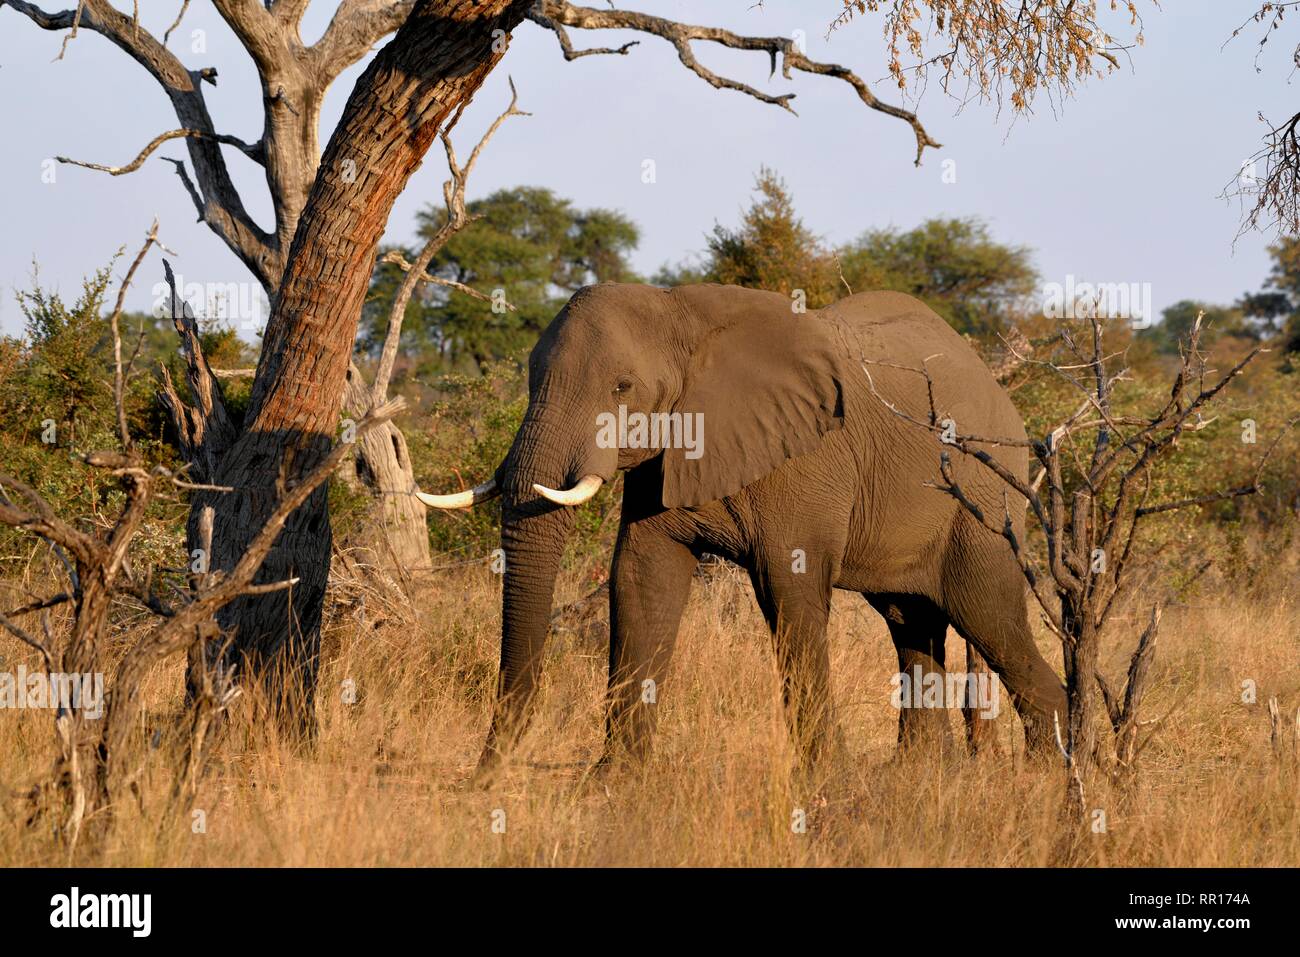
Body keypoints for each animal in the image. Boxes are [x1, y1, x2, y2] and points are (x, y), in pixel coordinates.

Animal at [421, 282, 1071, 780]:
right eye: (531, 381)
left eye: (622, 388)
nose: (481, 778)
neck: (681, 313)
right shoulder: (666, 454)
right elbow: (641, 580)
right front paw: (614, 781)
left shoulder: (808, 459)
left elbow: (790, 591)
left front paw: (826, 782)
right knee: (911, 621)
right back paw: (918, 776)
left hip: (981, 501)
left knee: (990, 616)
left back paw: (1051, 772)